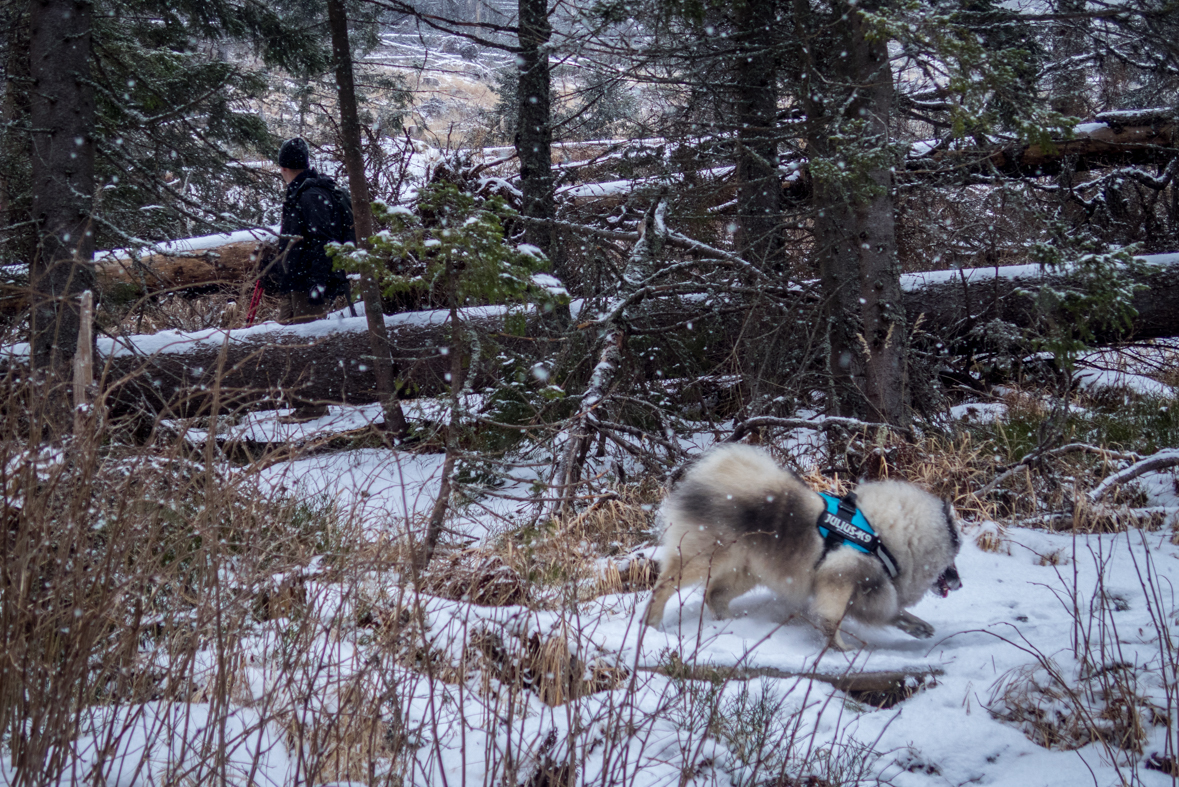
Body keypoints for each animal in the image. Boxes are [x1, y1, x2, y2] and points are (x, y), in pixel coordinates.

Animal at [641, 445, 962, 650]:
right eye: (953, 561)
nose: (959, 582)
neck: (882, 536)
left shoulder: (872, 587)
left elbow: (892, 611)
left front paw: (916, 625)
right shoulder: (841, 576)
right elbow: (832, 618)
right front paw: (840, 648)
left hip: (748, 570)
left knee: (715, 595)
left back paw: (730, 625)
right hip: (704, 557)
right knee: (664, 586)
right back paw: (652, 623)